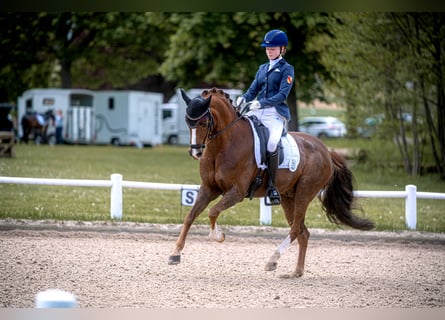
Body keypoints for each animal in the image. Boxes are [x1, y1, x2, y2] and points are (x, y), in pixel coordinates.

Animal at [168, 88, 372, 278]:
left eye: (203, 122)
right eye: (187, 122)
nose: (195, 152)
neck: (223, 145)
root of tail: (326, 151)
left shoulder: (237, 192)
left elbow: (212, 212)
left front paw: (218, 236)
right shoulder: (209, 188)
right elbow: (190, 216)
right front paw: (175, 254)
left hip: (304, 193)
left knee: (296, 229)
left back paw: (272, 260)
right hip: (288, 197)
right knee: (302, 232)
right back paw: (296, 272)